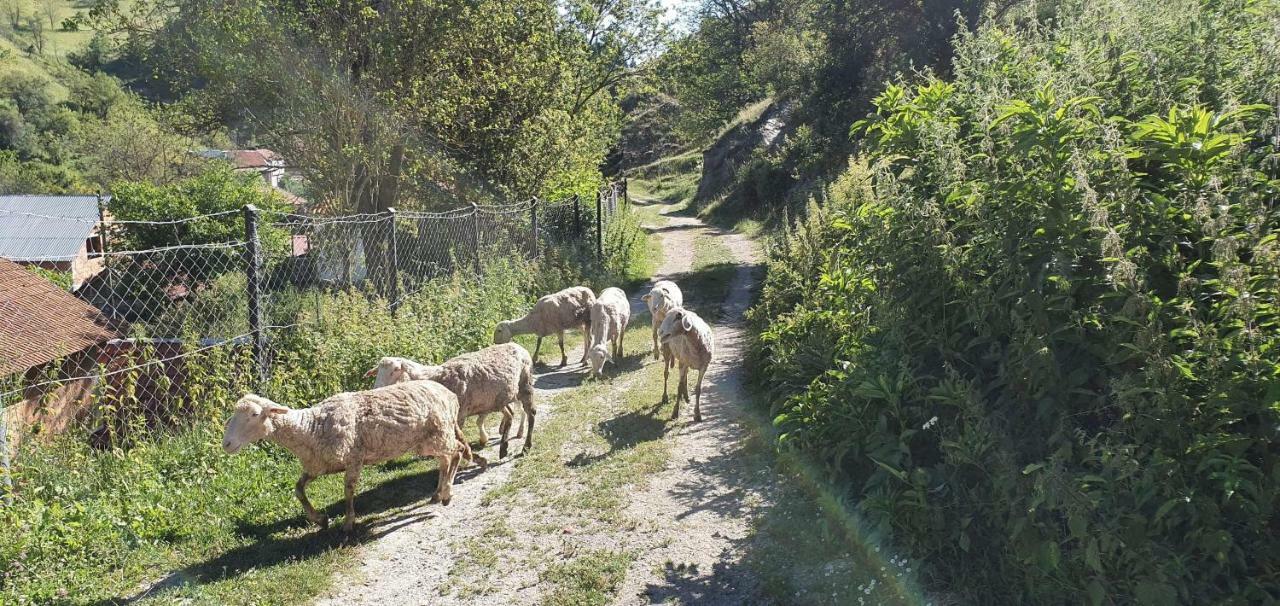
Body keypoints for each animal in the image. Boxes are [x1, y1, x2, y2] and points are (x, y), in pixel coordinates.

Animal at [224, 379, 476, 530]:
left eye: (254, 414)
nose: (226, 444)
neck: (312, 427)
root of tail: (448, 394)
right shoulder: (318, 465)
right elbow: (298, 489)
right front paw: (320, 519)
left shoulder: (354, 458)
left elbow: (348, 489)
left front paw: (348, 522)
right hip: (428, 439)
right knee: (445, 459)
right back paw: (437, 493)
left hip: (437, 433)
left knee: (457, 452)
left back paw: (447, 493)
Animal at [366, 343, 535, 456]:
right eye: (377, 371)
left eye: (395, 370)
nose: (376, 388)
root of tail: (517, 345)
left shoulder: (458, 415)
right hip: (499, 397)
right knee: (510, 414)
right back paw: (503, 447)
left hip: (524, 385)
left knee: (530, 413)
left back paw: (526, 446)